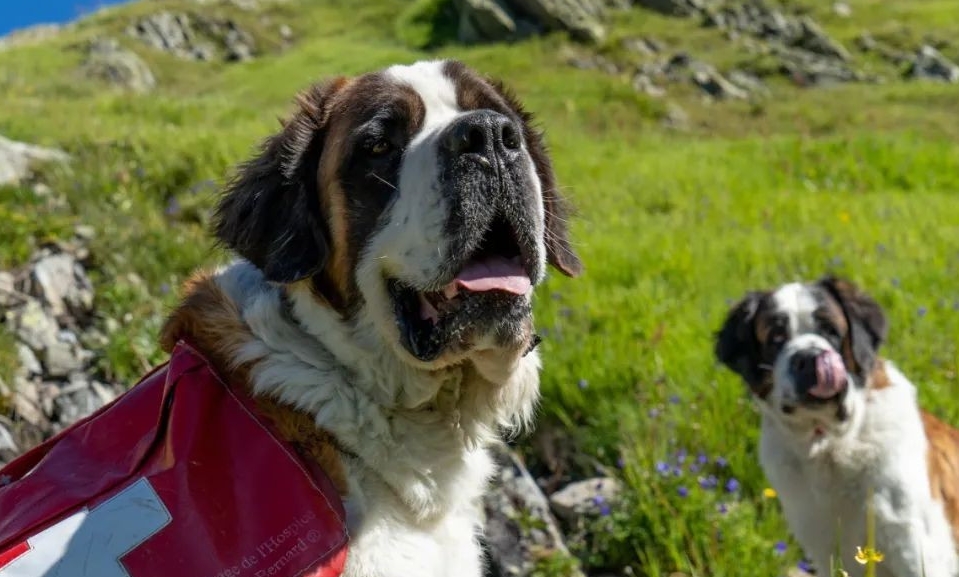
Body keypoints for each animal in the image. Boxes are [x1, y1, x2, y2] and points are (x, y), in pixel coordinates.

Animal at [716, 276, 959, 572]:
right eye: (776, 338)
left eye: (831, 331)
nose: (808, 357)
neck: (832, 444)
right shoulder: (822, 546)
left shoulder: (913, 545)